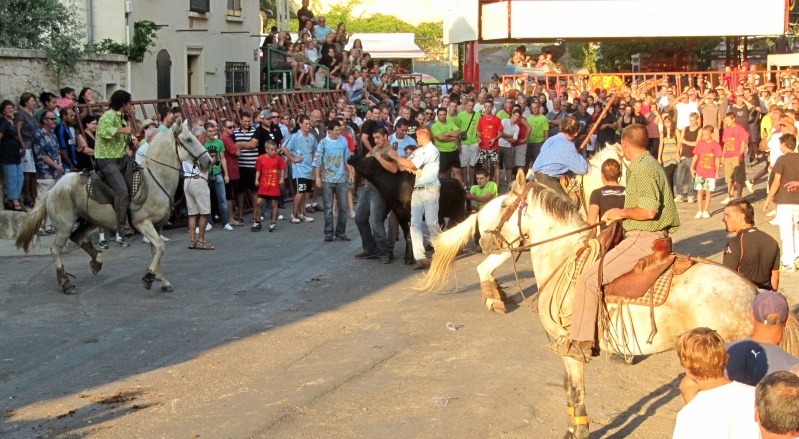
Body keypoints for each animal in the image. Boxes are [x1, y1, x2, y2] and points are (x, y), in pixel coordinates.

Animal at [18, 124, 212, 294]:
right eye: (189, 139)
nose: (209, 161)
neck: (156, 180)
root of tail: (54, 188)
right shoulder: (143, 223)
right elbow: (159, 246)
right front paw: (149, 277)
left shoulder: (157, 226)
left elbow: (157, 249)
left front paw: (162, 280)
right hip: (64, 226)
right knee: (56, 249)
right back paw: (66, 283)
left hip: (88, 221)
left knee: (77, 237)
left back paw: (96, 261)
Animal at [424, 180, 799, 439]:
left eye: (504, 203)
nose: (484, 241)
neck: (564, 257)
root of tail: (751, 292)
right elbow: (569, 390)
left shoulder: (570, 348)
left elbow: (576, 391)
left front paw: (579, 432)